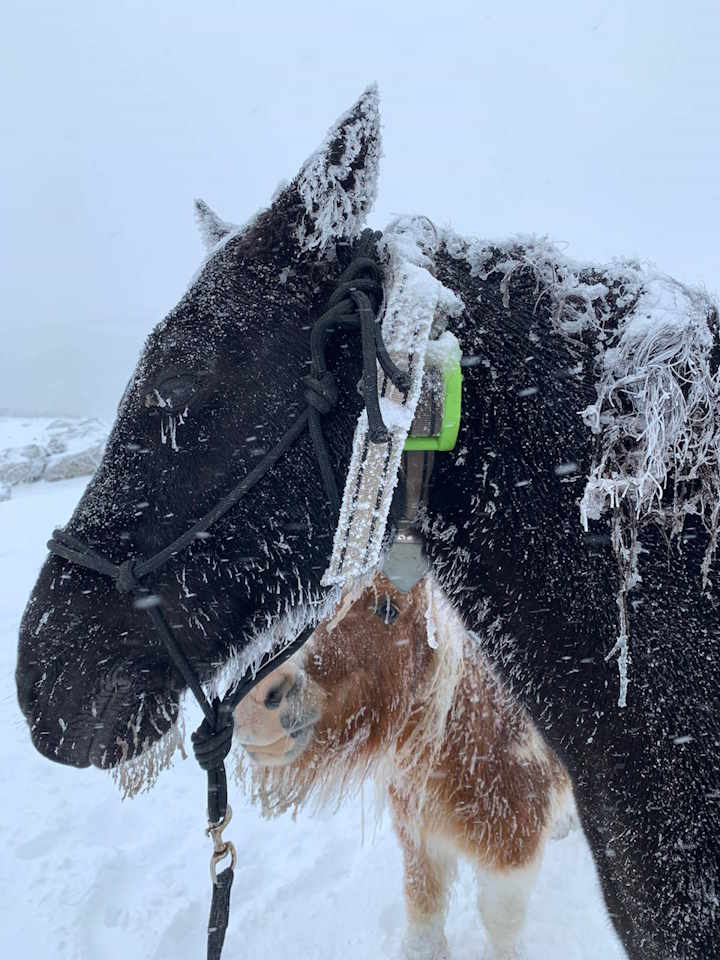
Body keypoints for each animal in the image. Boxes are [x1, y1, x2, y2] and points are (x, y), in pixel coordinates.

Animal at [233, 572, 571, 960]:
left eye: (388, 608)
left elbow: (501, 927)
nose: (254, 703)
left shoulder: (511, 858)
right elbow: (423, 913)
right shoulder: (420, 841)